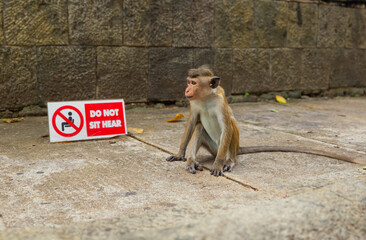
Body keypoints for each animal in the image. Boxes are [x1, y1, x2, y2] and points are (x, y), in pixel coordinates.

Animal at [167, 65, 364, 176]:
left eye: (193, 83)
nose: (186, 90)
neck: (207, 97)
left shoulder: (221, 102)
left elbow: (227, 126)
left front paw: (218, 165)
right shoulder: (194, 103)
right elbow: (192, 122)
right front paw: (180, 154)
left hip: (224, 147)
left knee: (232, 126)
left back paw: (229, 161)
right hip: (212, 146)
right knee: (200, 127)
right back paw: (192, 162)